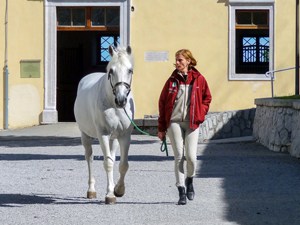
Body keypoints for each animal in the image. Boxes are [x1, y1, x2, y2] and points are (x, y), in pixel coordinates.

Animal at [73, 45, 134, 204]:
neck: (112, 103)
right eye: (111, 71)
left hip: (114, 138)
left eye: (130, 70)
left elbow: (123, 165)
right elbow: (108, 164)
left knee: (112, 157)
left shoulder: (124, 136)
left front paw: (119, 190)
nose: (121, 100)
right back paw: (91, 190)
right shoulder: (103, 134)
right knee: (90, 158)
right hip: (85, 135)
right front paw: (110, 195)